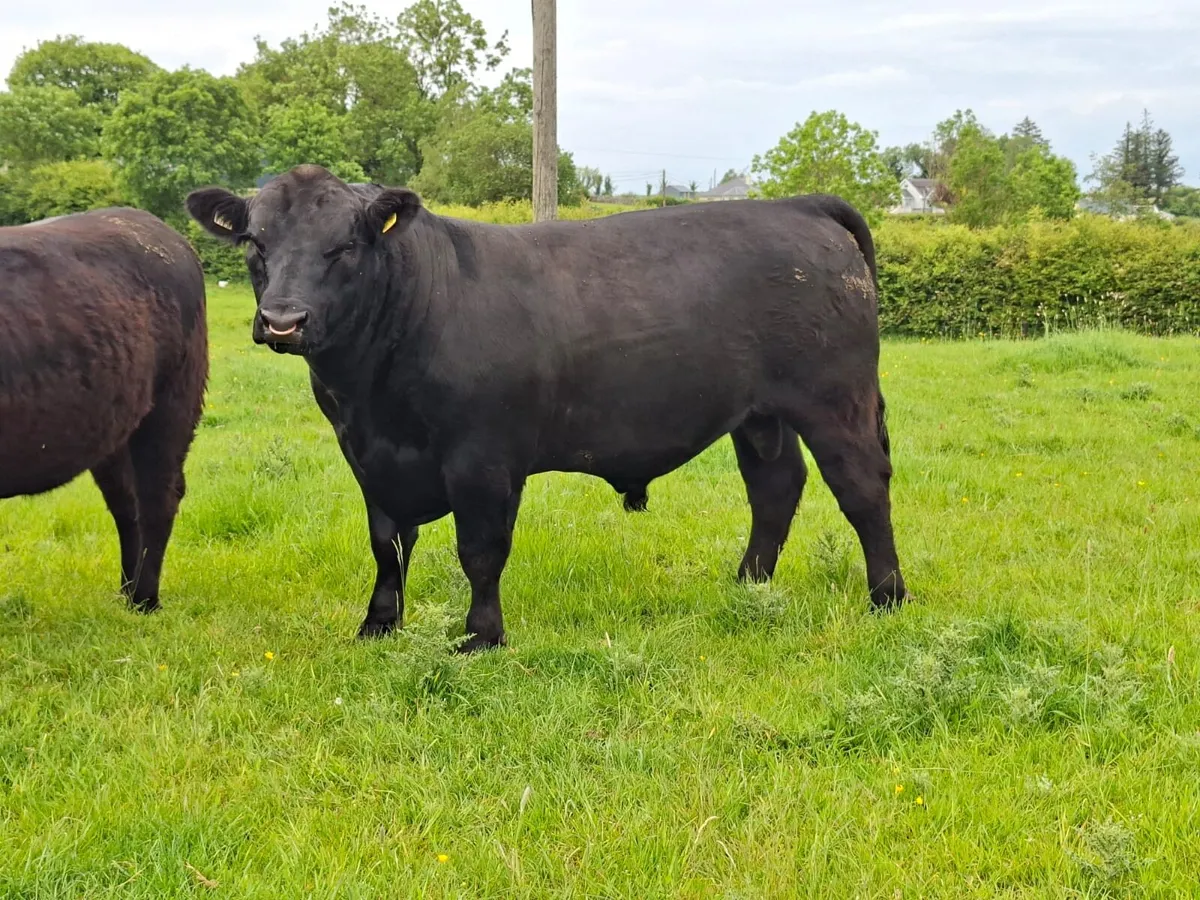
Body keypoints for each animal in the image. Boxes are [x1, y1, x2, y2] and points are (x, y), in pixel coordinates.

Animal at [0, 207, 208, 612]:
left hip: (172, 405)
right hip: (115, 426)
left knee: (158, 497)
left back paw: (144, 599)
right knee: (127, 505)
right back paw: (127, 590)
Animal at [186, 164, 906, 651]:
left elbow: (479, 550)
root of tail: (800, 206)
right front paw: (378, 624)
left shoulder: (481, 459)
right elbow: (386, 544)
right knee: (775, 487)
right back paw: (750, 583)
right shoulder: (367, 456)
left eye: (344, 247)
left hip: (833, 400)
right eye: (255, 245)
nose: (283, 321)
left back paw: (887, 598)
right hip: (760, 414)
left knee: (862, 488)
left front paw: (481, 637)